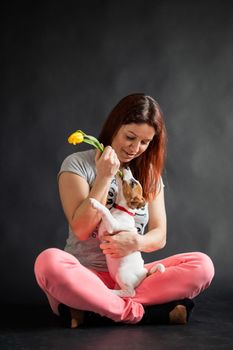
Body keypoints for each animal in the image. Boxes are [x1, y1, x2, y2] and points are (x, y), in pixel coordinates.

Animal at [90, 168, 165, 296]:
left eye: (133, 183)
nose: (127, 167)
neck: (122, 210)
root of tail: (144, 274)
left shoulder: (113, 225)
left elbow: (106, 211)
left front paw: (95, 203)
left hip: (122, 274)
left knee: (130, 293)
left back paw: (111, 292)